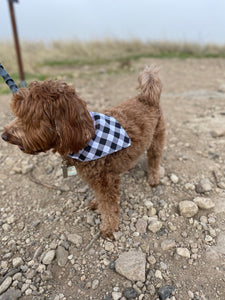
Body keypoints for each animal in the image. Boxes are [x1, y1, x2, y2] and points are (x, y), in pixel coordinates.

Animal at [1, 65, 165, 239]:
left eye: (30, 120)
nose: (4, 136)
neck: (86, 136)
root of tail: (146, 98)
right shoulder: (96, 179)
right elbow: (100, 198)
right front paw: (96, 204)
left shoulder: (105, 180)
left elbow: (108, 205)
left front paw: (109, 226)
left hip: (157, 138)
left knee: (154, 159)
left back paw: (154, 178)